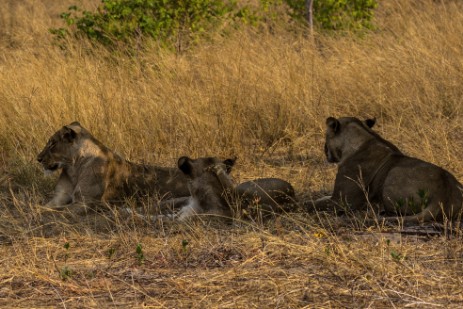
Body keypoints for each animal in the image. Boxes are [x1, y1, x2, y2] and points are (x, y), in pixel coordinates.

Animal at [36, 121, 190, 209]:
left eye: (52, 144)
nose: (38, 158)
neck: (73, 168)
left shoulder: (85, 202)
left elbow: (52, 211)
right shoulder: (59, 197)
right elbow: (45, 207)